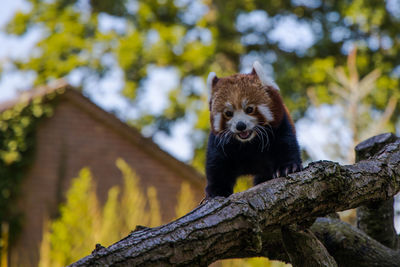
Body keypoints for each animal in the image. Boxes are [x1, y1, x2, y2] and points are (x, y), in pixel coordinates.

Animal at [205, 60, 302, 199]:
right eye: (228, 113)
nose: (240, 126)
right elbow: (217, 163)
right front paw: (217, 189)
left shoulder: (280, 126)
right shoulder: (219, 141)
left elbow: (286, 145)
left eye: (249, 109)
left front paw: (288, 167)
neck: (249, 143)